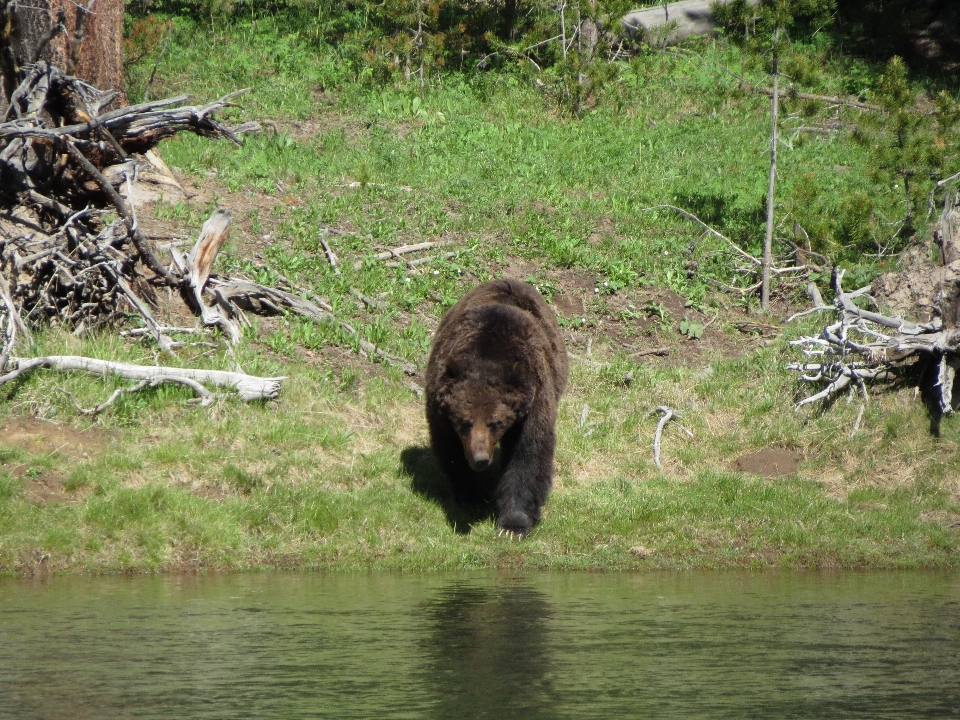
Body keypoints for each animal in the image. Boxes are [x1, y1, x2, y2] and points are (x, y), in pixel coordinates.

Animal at [424, 278, 568, 536]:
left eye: (495, 423)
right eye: (464, 422)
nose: (480, 459)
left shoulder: (534, 401)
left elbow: (528, 454)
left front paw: (513, 524)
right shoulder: (440, 406)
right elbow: (450, 450)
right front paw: (473, 494)